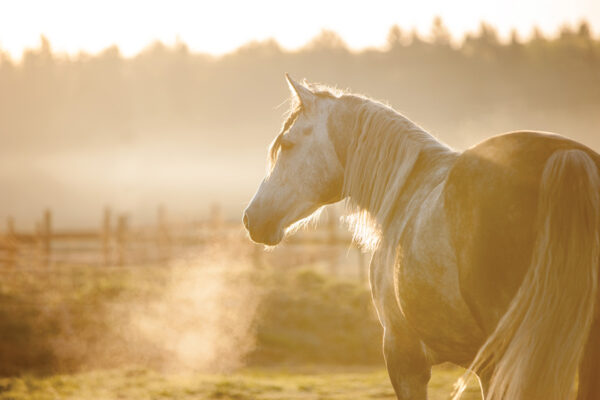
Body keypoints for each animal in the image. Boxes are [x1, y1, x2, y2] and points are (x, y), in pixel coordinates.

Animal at [241, 76, 596, 400]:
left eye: (286, 144)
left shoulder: (404, 356)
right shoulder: (483, 367)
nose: (251, 218)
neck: (405, 189)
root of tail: (567, 155)